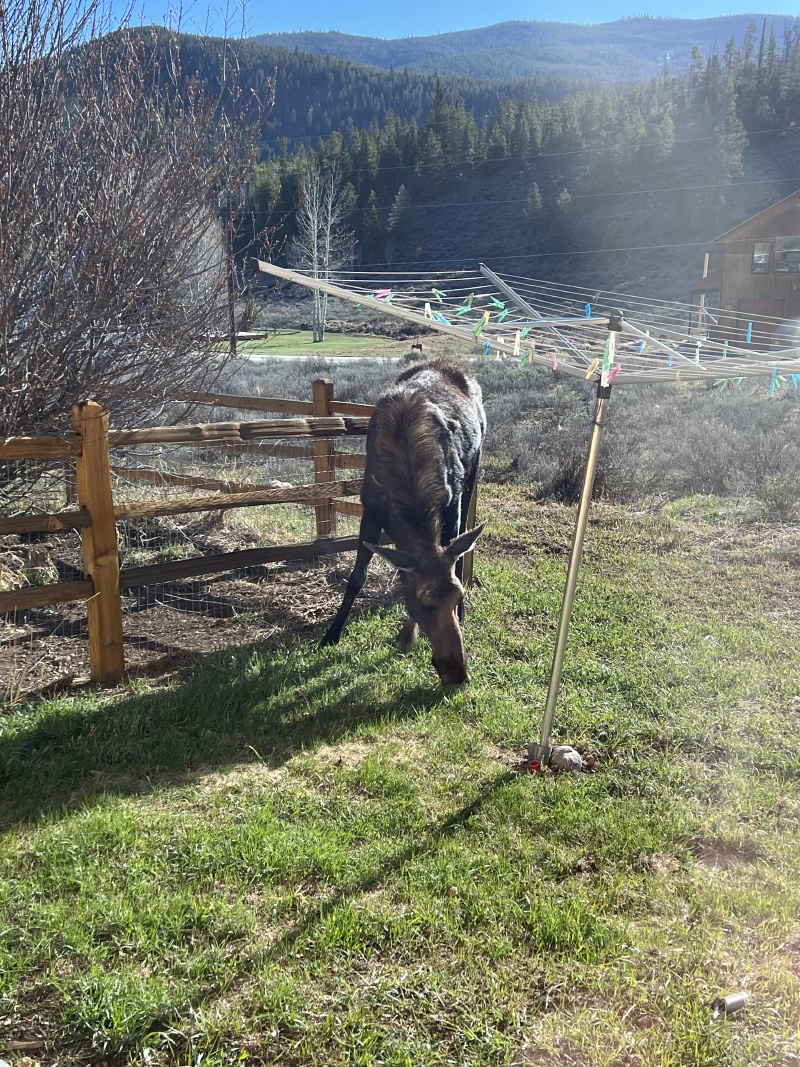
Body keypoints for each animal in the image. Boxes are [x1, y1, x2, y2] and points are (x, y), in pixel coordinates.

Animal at [321, 358, 486, 684]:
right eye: (424, 602)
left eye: (457, 595)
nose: (457, 671)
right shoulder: (370, 510)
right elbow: (357, 577)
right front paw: (331, 633)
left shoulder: (451, 505)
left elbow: (451, 557)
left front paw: (408, 635)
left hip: (474, 469)